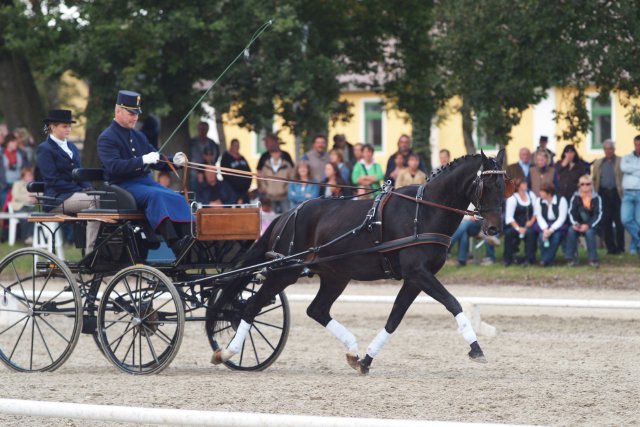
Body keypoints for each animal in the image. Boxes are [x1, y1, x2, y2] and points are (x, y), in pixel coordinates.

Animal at [210, 151, 510, 374]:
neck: (423, 212)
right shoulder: (418, 273)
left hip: (335, 275)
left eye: (504, 185)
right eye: (486, 185)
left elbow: (394, 318)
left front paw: (366, 359)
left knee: (317, 310)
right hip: (285, 271)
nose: (494, 228)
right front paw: (476, 348)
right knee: (251, 307)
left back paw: (353, 349)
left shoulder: (414, 278)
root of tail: (287, 215)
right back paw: (227, 352)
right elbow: (453, 303)